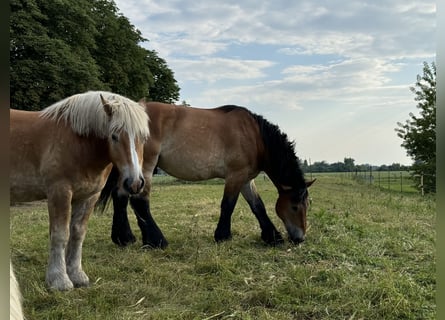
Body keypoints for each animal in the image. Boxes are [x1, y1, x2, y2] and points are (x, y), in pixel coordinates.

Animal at [10, 91, 149, 292]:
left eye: (144, 137)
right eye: (114, 136)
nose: (135, 183)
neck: (78, 142)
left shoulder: (88, 197)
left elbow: (77, 234)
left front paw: (77, 275)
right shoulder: (59, 192)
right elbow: (60, 235)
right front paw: (59, 279)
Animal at [95, 102, 314, 250]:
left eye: (307, 205)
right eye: (294, 206)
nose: (300, 238)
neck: (255, 136)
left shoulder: (246, 179)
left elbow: (257, 205)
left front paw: (272, 236)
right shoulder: (235, 176)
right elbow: (228, 205)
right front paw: (223, 236)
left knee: (121, 196)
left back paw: (126, 238)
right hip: (145, 166)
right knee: (139, 200)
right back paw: (157, 241)